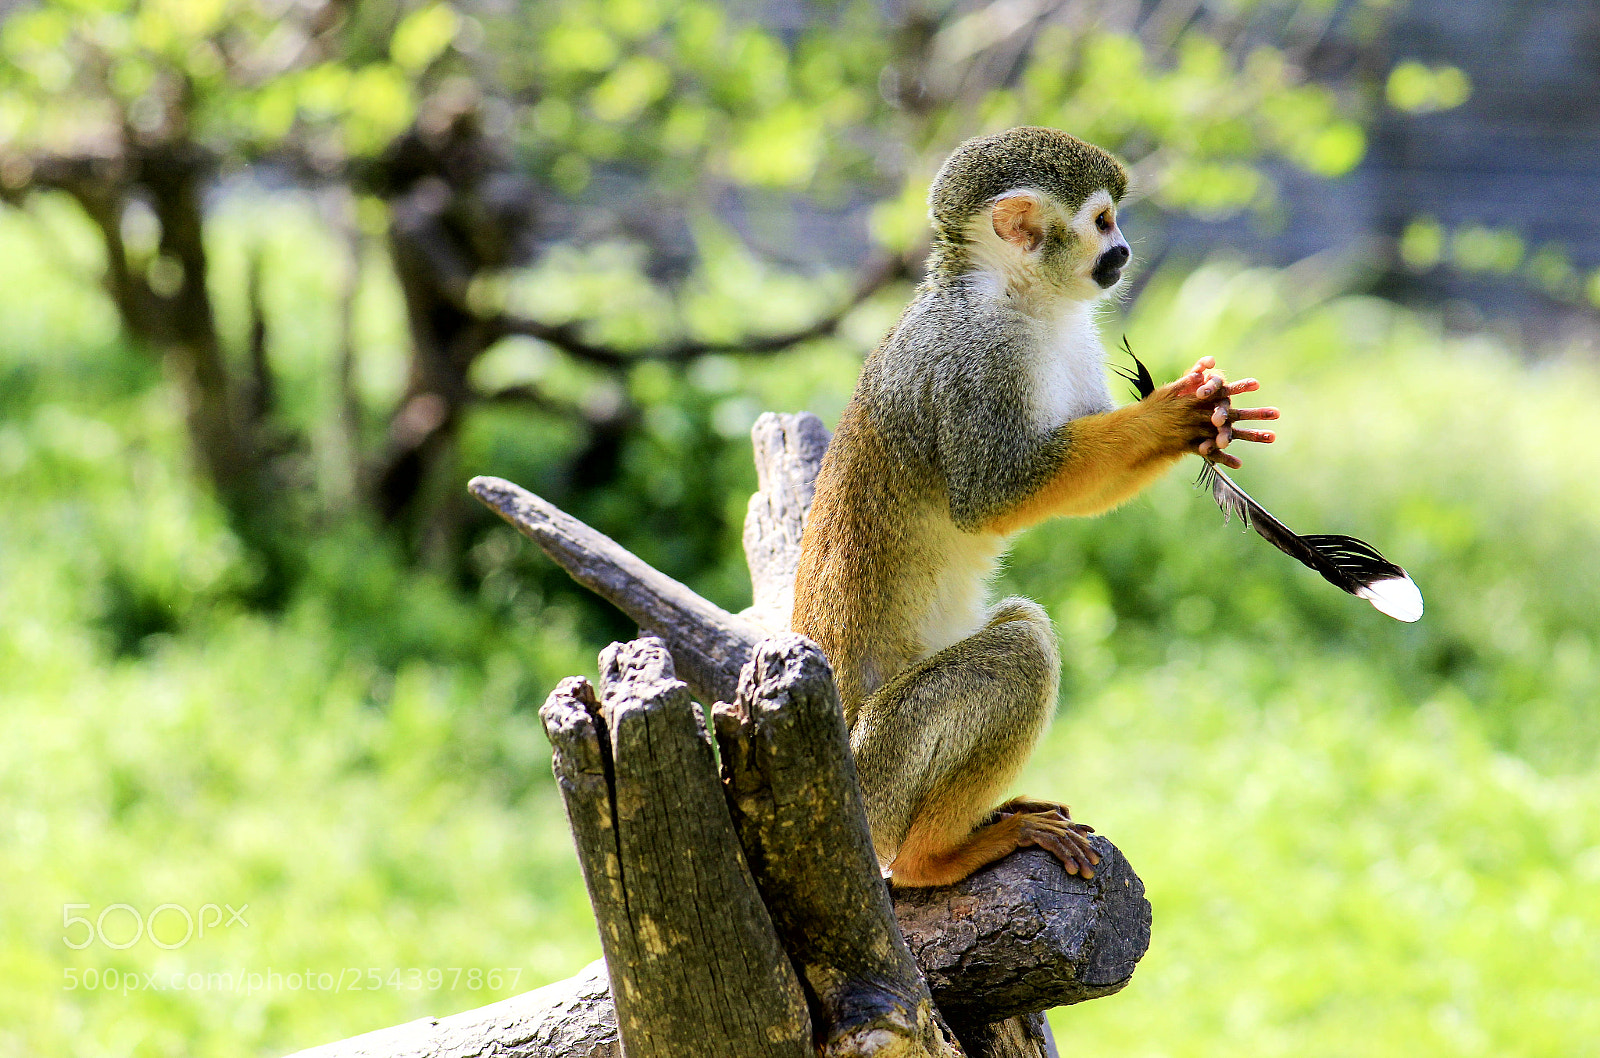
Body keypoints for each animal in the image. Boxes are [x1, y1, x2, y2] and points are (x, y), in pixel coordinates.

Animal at [791, 127, 1279, 888]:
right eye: (1104, 222)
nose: (1125, 252)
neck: (1011, 297)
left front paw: (1206, 419)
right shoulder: (976, 360)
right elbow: (992, 496)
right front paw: (1169, 416)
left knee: (1019, 623)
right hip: (879, 778)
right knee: (1024, 646)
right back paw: (937, 855)